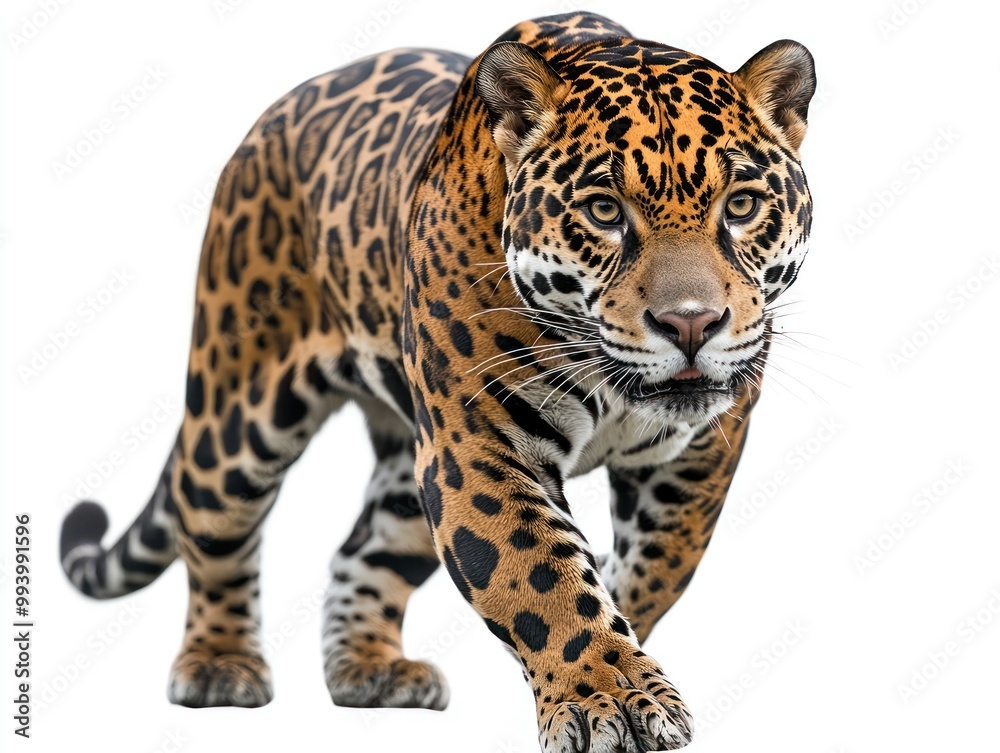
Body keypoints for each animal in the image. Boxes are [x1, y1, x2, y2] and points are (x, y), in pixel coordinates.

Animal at [59, 12, 815, 752]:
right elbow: (541, 574)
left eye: (742, 205)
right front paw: (608, 698)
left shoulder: (699, 451)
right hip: (239, 411)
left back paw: (371, 669)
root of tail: (269, 120)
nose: (691, 324)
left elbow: (661, 563)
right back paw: (219, 664)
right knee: (212, 528)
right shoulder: (481, 445)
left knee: (364, 551)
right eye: (604, 211)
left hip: (409, 464)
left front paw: (622, 645)